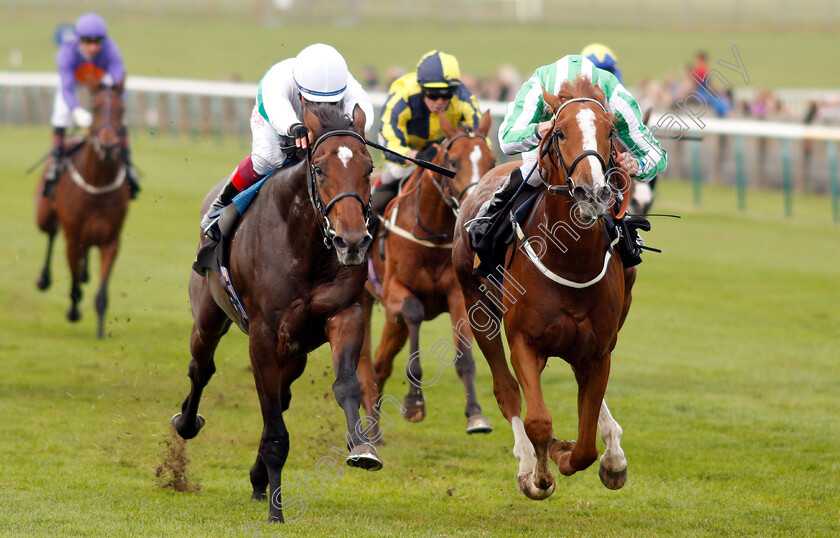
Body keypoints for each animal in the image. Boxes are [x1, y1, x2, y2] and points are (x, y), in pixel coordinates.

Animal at [35, 82, 131, 338]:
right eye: (95, 109)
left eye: (121, 110)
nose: (108, 147)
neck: (97, 184)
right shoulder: (73, 238)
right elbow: (75, 283)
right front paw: (73, 311)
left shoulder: (112, 241)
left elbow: (102, 292)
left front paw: (100, 329)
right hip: (44, 216)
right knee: (51, 233)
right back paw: (43, 278)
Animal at [171, 102, 380, 520]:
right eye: (320, 169)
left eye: (368, 168)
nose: (351, 241)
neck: (305, 243)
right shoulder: (264, 334)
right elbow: (275, 429)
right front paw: (276, 512)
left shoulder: (344, 314)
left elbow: (345, 384)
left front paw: (362, 446)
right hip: (209, 317)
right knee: (201, 368)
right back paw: (187, 423)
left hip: (295, 351)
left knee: (280, 397)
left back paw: (258, 477)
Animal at [356, 111, 498, 438]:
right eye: (453, 162)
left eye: (492, 162)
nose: (475, 209)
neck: (431, 235)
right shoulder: (396, 293)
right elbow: (415, 313)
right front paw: (414, 402)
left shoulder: (458, 295)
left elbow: (465, 357)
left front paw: (476, 415)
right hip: (366, 300)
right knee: (370, 364)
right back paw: (370, 430)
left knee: (381, 364)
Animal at [452, 77, 636, 500]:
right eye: (559, 132)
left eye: (611, 132)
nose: (592, 192)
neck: (570, 261)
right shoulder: (525, 340)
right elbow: (537, 420)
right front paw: (538, 475)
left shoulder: (598, 350)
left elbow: (586, 441)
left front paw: (577, 454)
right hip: (478, 309)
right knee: (506, 389)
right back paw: (526, 461)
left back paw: (612, 451)